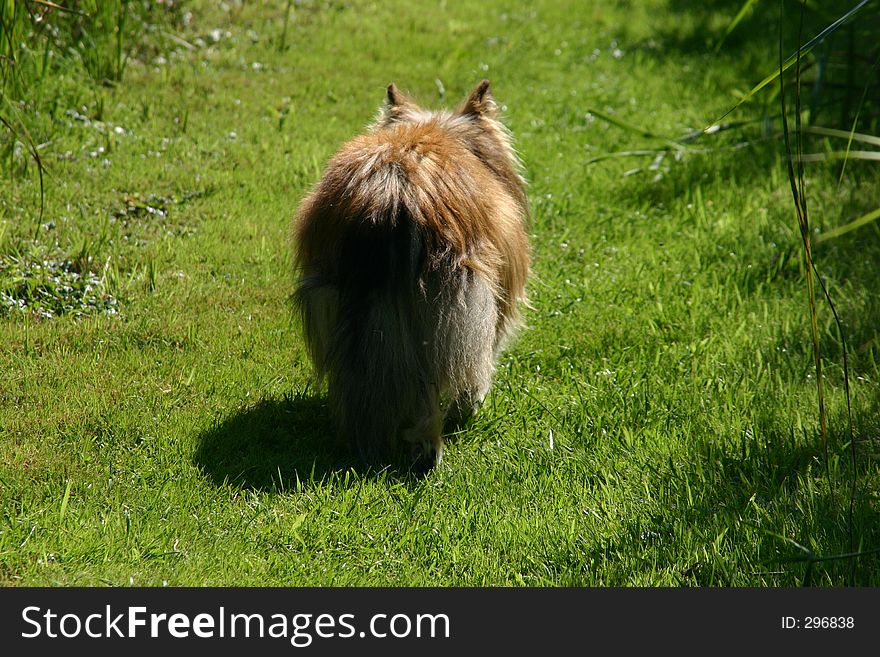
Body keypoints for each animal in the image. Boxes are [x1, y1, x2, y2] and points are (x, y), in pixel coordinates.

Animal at [294, 79, 528, 472]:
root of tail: (391, 191)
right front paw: (468, 409)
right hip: (455, 306)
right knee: (432, 389)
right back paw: (429, 450)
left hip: (336, 300)